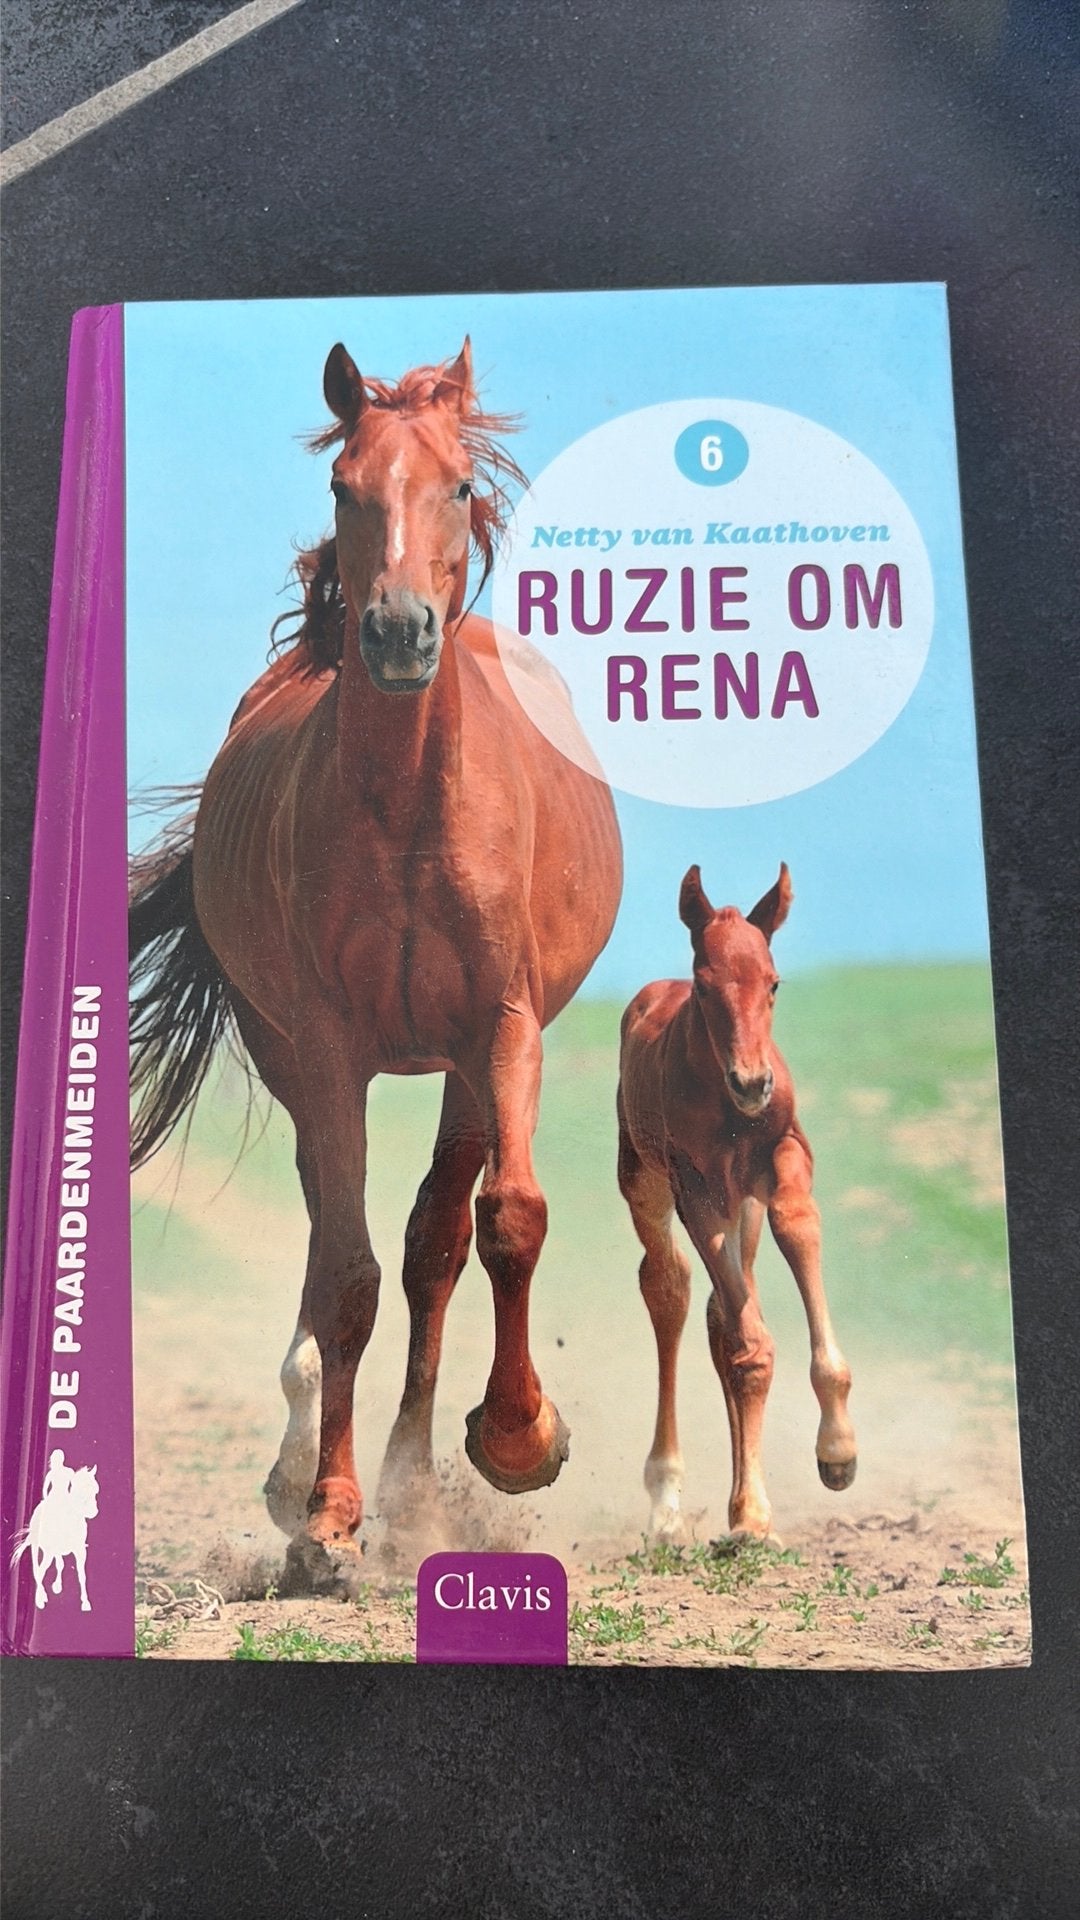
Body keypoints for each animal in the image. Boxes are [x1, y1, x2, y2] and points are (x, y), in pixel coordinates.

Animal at [11, 1464, 99, 1611]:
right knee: (38, 1569)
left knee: (57, 1564)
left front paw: (85, 1603)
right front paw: (40, 1599)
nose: (93, 1511)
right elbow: (41, 1571)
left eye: (95, 1490)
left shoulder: (80, 1551)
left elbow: (81, 1575)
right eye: (79, 1490)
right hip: (38, 1547)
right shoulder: (50, 1551)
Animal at [129, 340, 623, 1586]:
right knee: (333, 1237)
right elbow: (345, 1277)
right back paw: (315, 1473)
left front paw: (518, 1440)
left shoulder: (502, 1028)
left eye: (458, 483)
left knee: (438, 1246)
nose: (399, 633)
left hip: (458, 1071)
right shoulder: (326, 1047)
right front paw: (327, 1519)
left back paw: (416, 1481)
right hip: (296, 1061)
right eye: (343, 487)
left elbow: (507, 1221)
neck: (407, 810)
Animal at [616, 864, 856, 1542]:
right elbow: (748, 1344)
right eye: (704, 986)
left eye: (772, 982)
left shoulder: (785, 1155)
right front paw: (752, 1516)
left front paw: (838, 1451)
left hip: (741, 1208)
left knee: (722, 1310)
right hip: (645, 1180)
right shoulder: (696, 1190)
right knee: (669, 1286)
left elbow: (796, 1224)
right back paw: (668, 1500)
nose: (752, 1083)